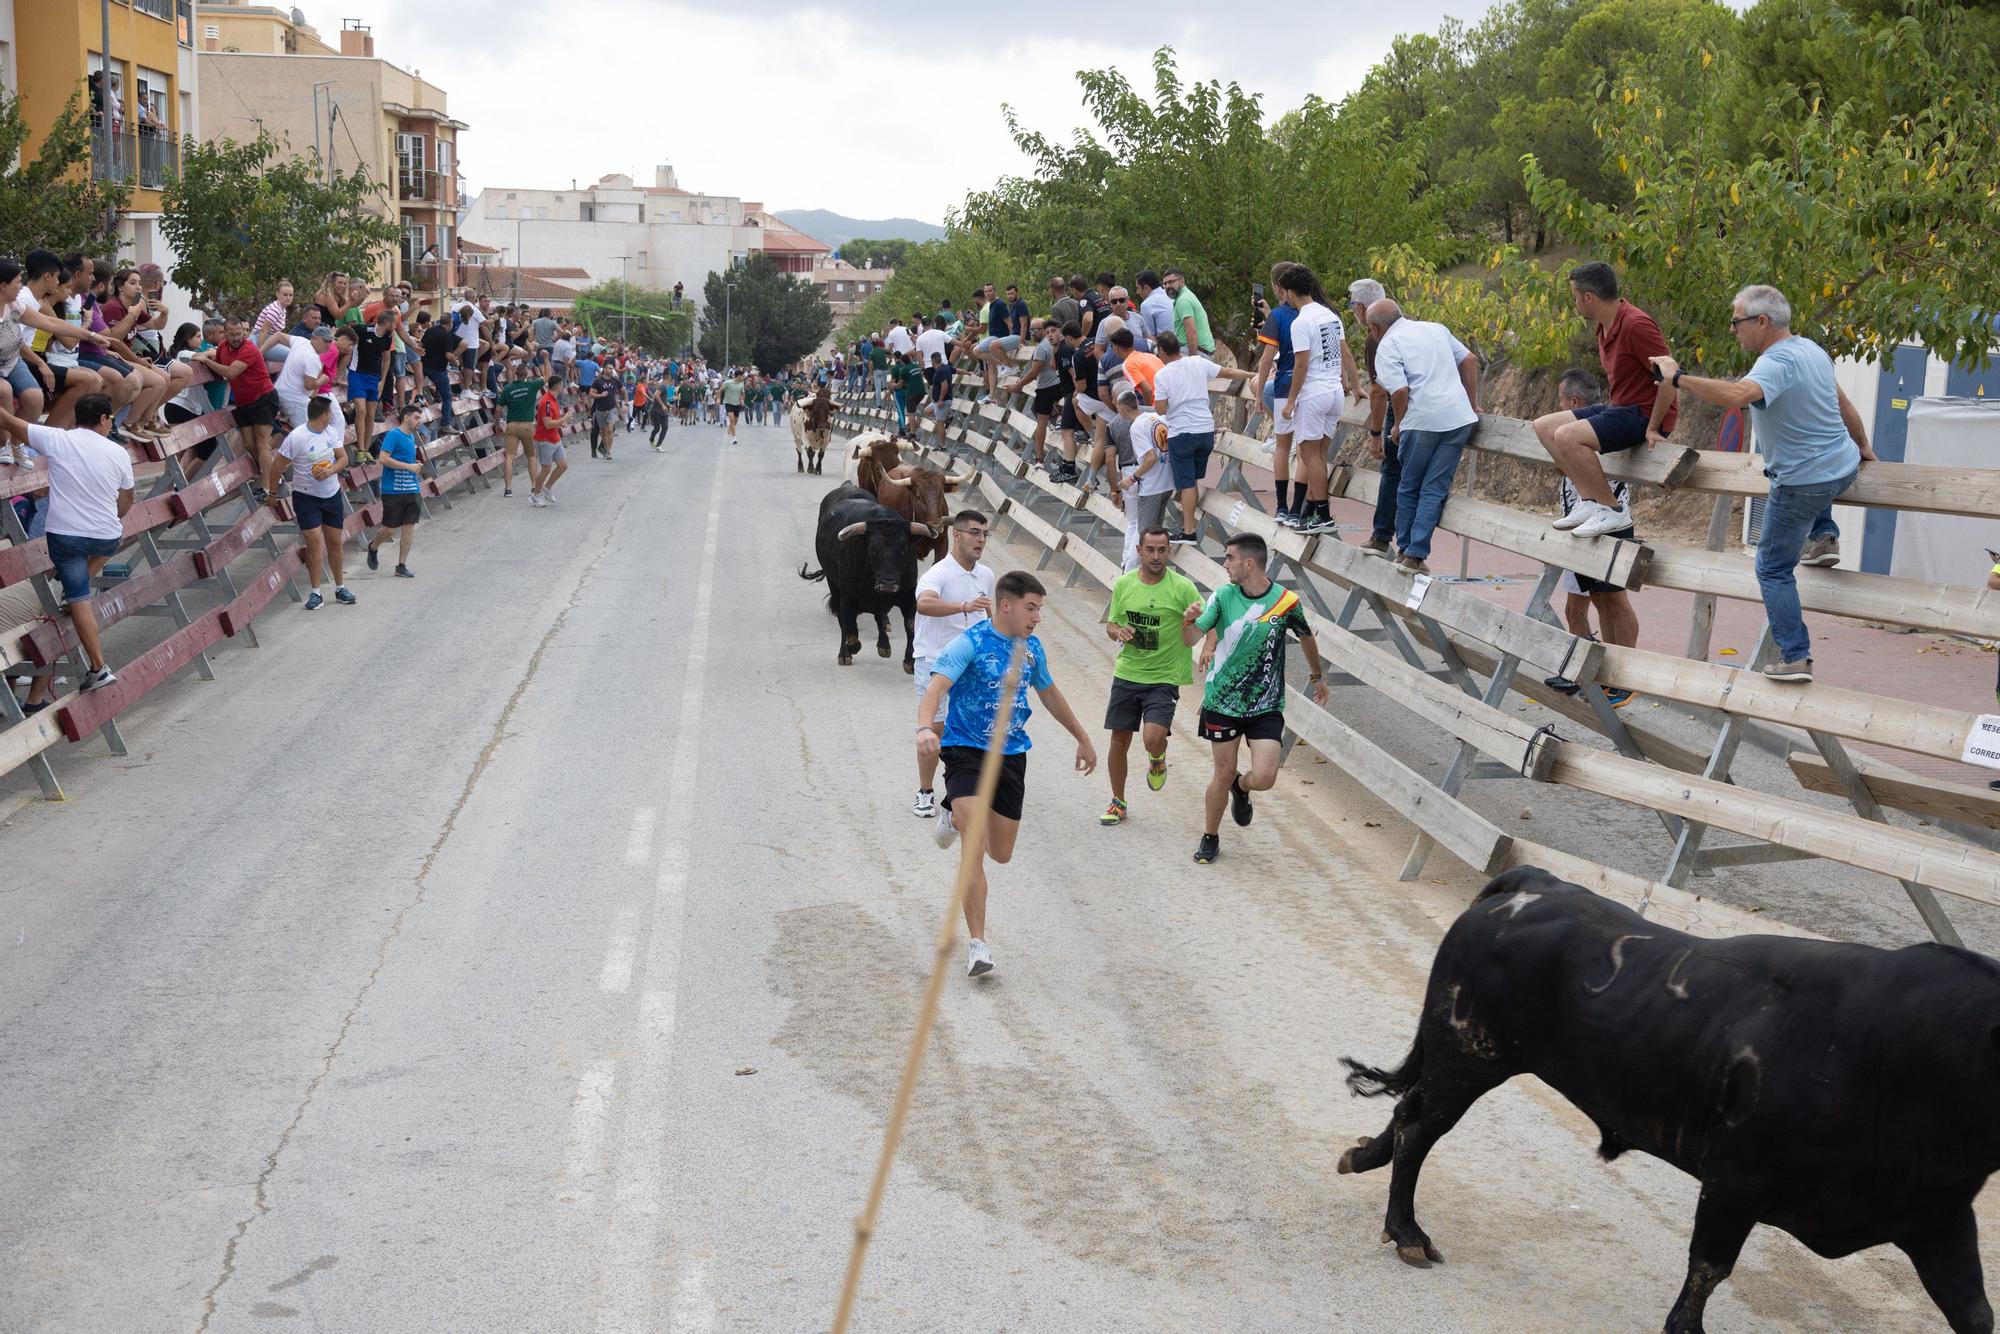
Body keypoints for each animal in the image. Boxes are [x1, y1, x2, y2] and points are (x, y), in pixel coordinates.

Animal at [792, 486, 932, 668]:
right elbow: (849, 627)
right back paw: (845, 654)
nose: (888, 584)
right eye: (873, 552)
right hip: (834, 585)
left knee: (879, 617)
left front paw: (910, 660)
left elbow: (910, 626)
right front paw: (850, 649)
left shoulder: (908, 597)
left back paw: (884, 646)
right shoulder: (847, 597)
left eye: (903, 552)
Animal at [1336, 868, 2000, 1334]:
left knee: (1407, 1111)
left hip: (1457, 1057)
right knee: (1420, 1127)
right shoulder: (1737, 1180)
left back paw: (1363, 1159)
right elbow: (1710, 1266)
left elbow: (1974, 1310)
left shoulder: (1939, 1218)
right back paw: (1407, 1232)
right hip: (1469, 1058)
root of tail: (1538, 883)